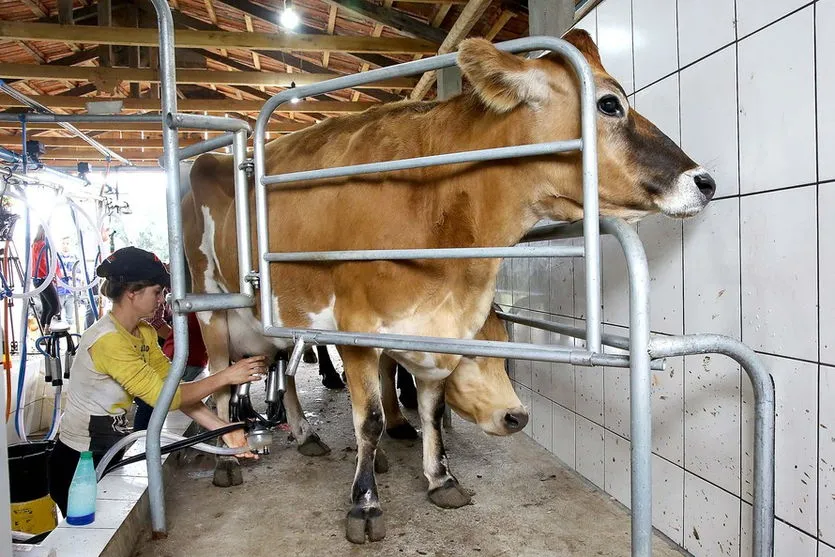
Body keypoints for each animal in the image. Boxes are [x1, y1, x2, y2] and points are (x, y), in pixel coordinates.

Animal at [185, 31, 720, 544]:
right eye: (609, 104)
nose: (706, 181)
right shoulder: (357, 330)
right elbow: (370, 421)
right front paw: (365, 504)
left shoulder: (436, 331)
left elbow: (431, 408)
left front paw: (440, 480)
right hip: (211, 305)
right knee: (218, 379)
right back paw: (227, 456)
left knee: (282, 370)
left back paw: (303, 433)